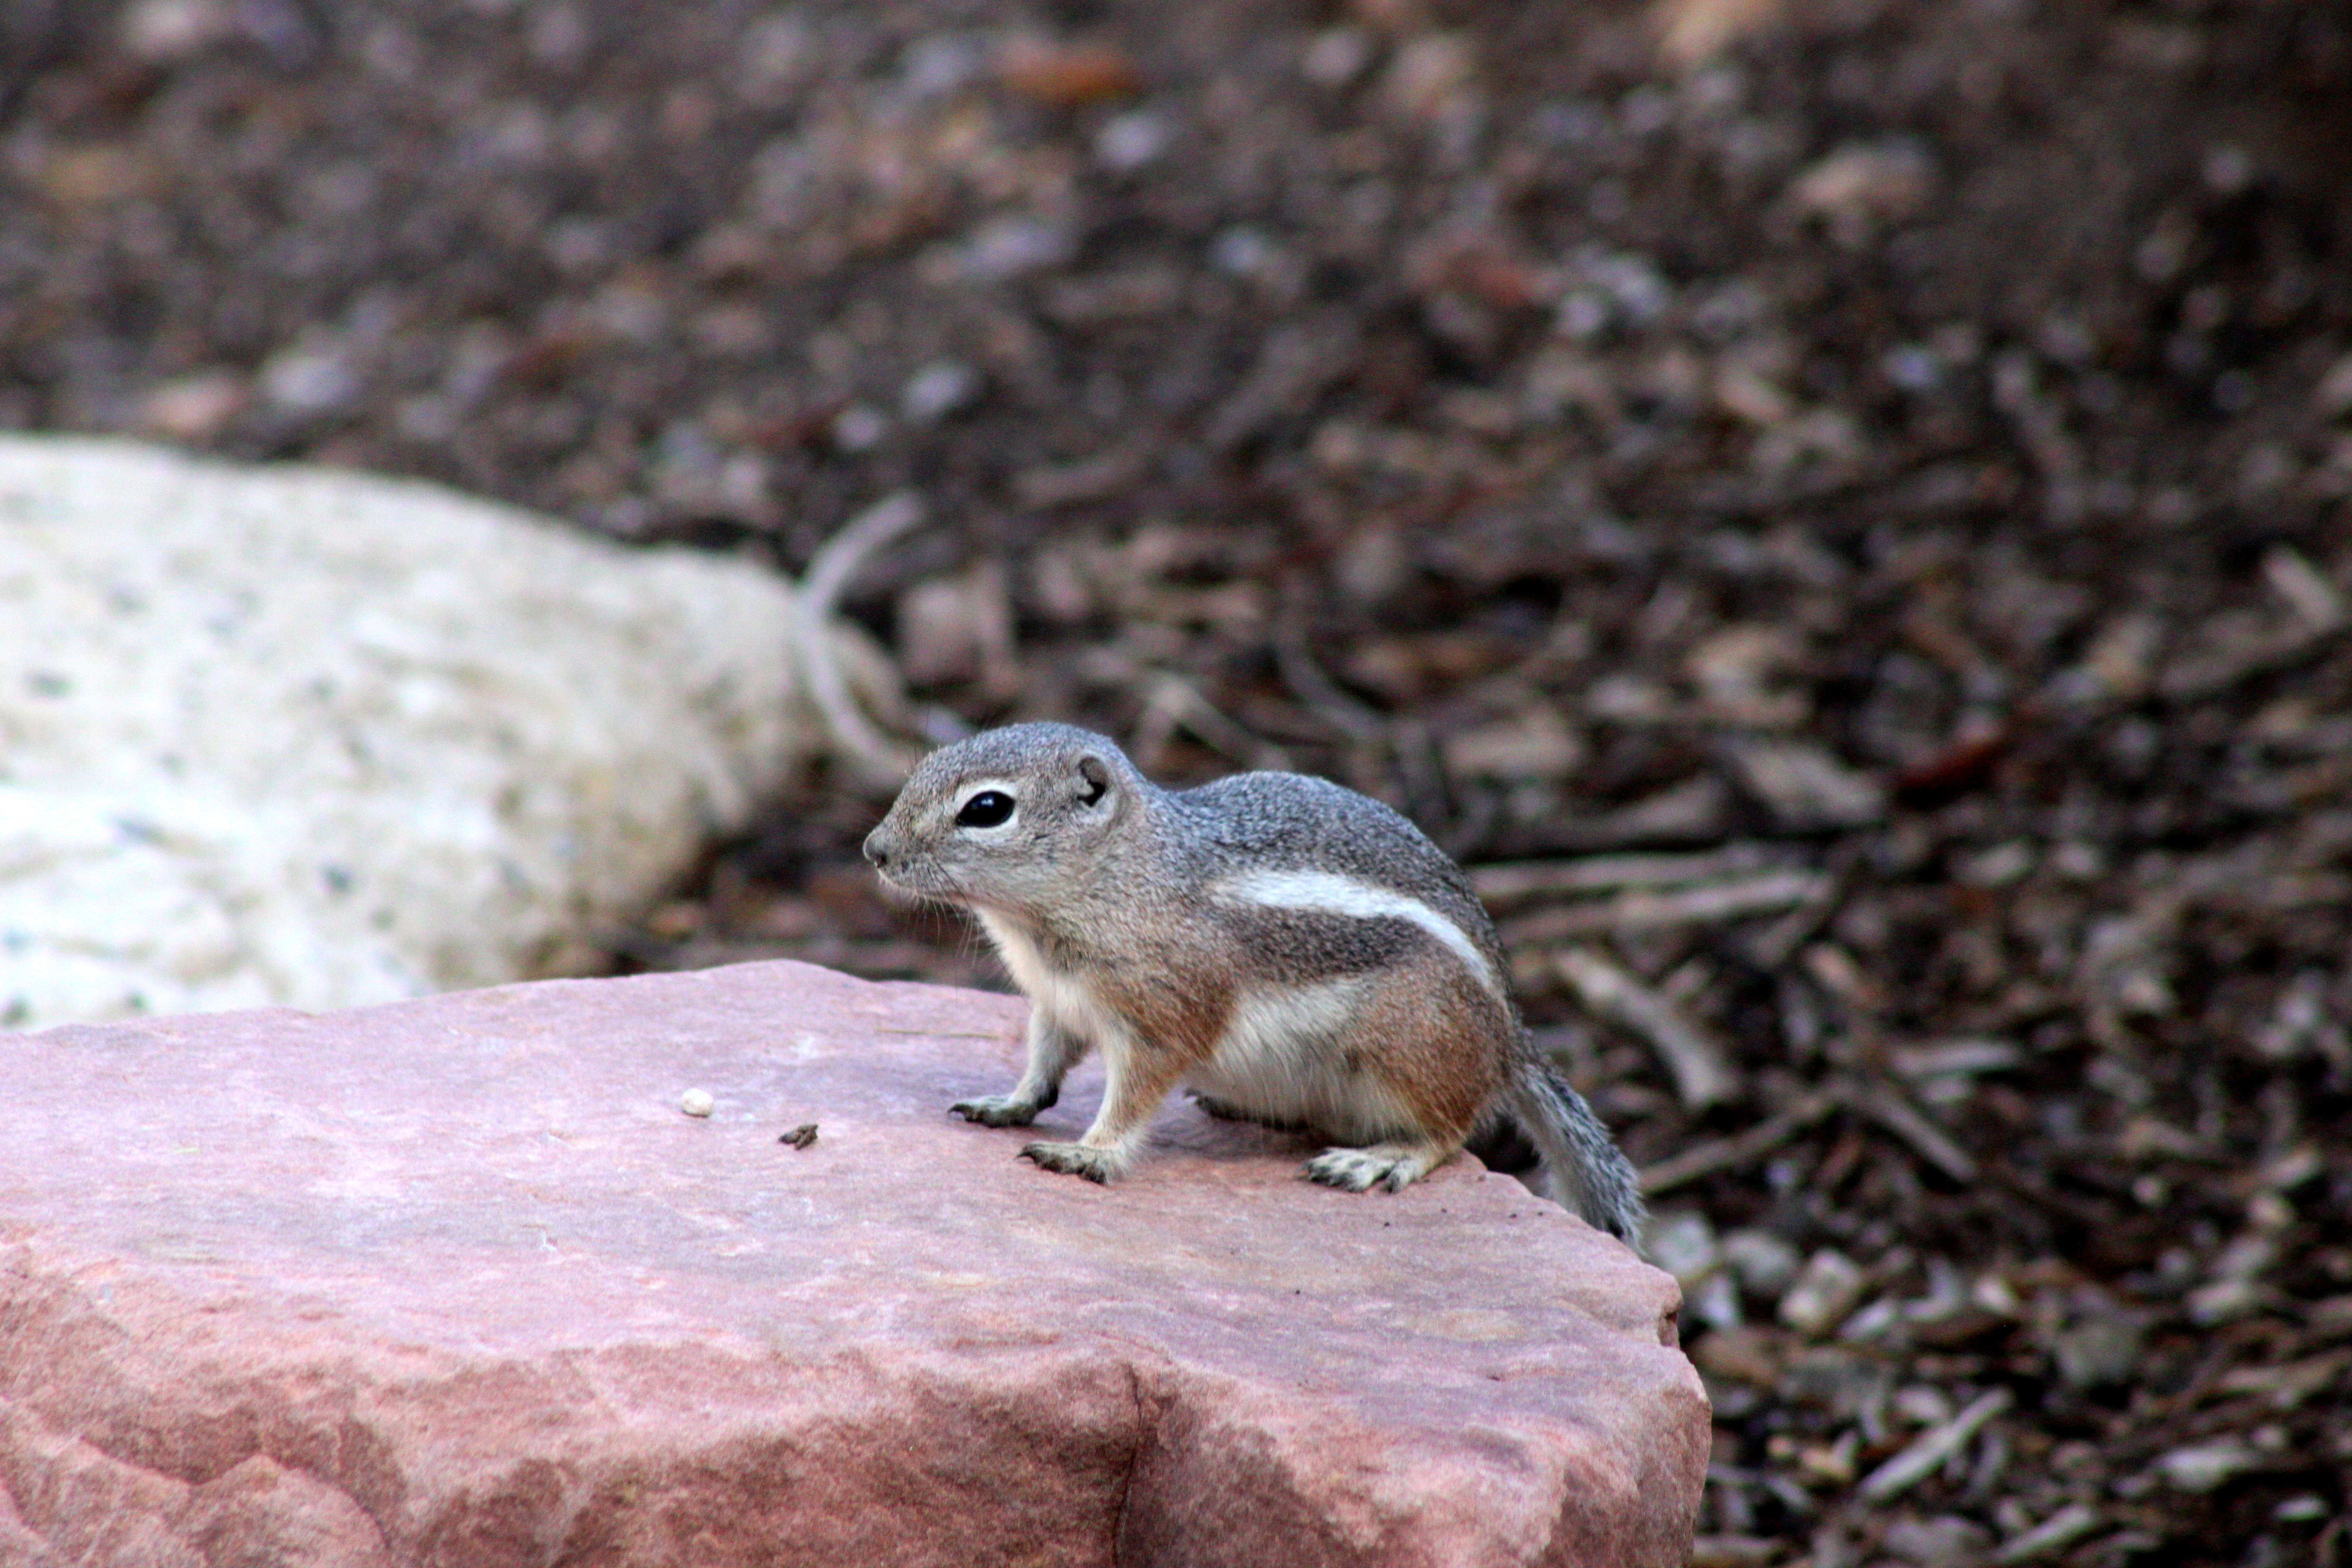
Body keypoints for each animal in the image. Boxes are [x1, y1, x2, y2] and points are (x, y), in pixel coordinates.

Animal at [862, 722, 1645, 1245]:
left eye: (987, 809)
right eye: (925, 765)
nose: (874, 851)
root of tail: (1512, 1034)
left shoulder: (1164, 1014)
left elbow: (1136, 1092)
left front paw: (1089, 1152)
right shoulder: (1057, 1005)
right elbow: (1043, 1066)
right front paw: (1008, 1103)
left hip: (1406, 1044)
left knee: (1450, 1130)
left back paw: (1378, 1160)